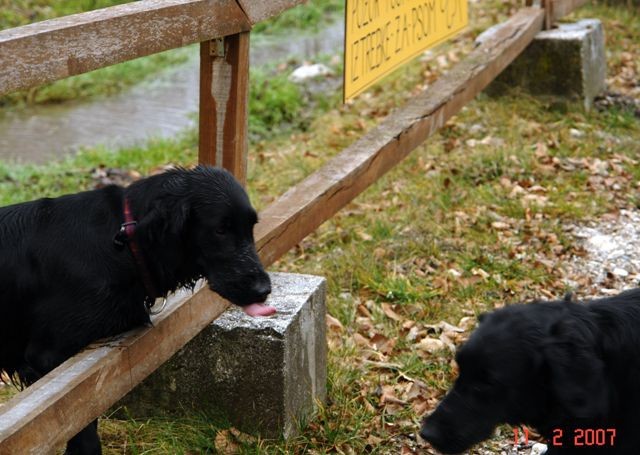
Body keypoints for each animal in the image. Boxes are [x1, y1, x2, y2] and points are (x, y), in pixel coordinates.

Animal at [0, 166, 272, 454]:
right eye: (220, 229)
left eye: (251, 227)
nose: (264, 289)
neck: (123, 242)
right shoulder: (51, 362)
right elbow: (83, 431)